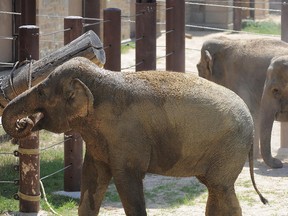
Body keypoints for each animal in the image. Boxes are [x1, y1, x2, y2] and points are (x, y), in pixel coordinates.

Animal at [2, 56, 266, 215]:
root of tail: (252, 123)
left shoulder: (126, 136)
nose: (24, 122)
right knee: (215, 189)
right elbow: (92, 179)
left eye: (42, 91)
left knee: (221, 189)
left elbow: (126, 181)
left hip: (229, 147)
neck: (102, 78)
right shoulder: (100, 140)